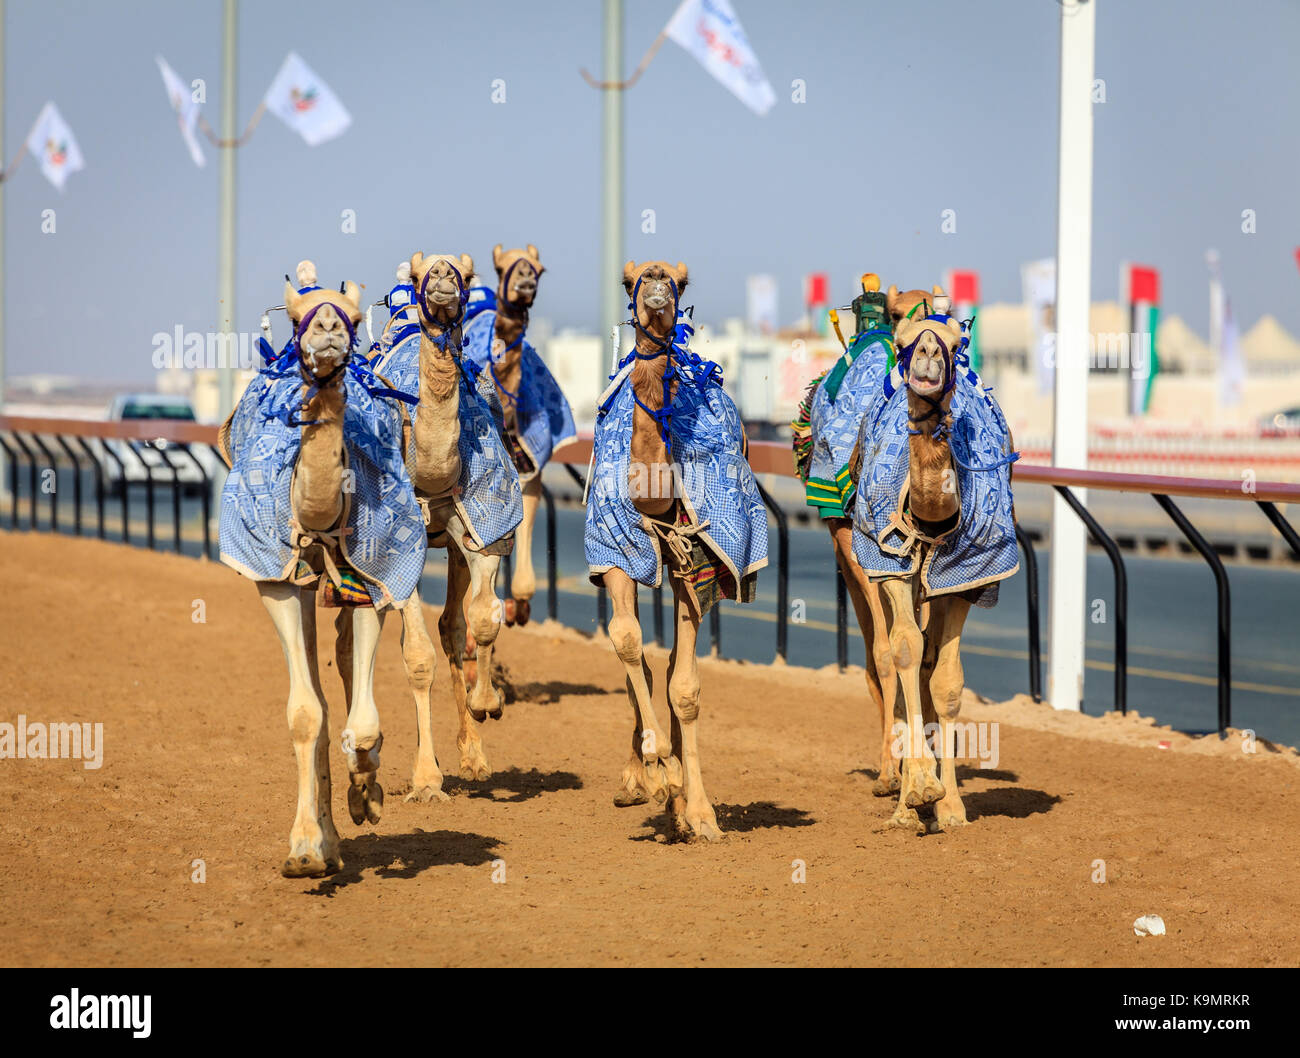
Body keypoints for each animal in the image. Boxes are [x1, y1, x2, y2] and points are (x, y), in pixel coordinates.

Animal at [219, 258, 426, 878]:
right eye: (295, 316)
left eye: (355, 317)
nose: (328, 331)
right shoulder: (275, 578)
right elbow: (306, 714)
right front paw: (307, 850)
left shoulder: (371, 575)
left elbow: (364, 721)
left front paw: (368, 794)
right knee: (319, 700)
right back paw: (325, 841)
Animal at [366, 252, 522, 790]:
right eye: (418, 273)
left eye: (466, 273)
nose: (439, 276)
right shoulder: (397, 547)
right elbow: (416, 659)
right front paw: (426, 780)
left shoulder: (482, 529)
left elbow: (483, 618)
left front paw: (487, 706)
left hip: (451, 546)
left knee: (451, 624)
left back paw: (473, 756)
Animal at [585, 258, 764, 847]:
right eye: (630, 279)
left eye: (681, 281)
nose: (659, 290)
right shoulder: (615, 553)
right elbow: (625, 642)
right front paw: (655, 772)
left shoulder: (697, 566)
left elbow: (683, 687)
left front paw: (698, 810)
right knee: (637, 658)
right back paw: (644, 779)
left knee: (666, 673)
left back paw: (679, 799)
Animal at [847, 292, 1019, 837]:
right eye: (902, 341)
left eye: (957, 342)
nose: (925, 357)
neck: (932, 520)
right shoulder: (889, 566)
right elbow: (903, 651)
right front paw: (915, 795)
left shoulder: (965, 579)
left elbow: (945, 682)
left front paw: (950, 806)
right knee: (894, 654)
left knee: (927, 665)